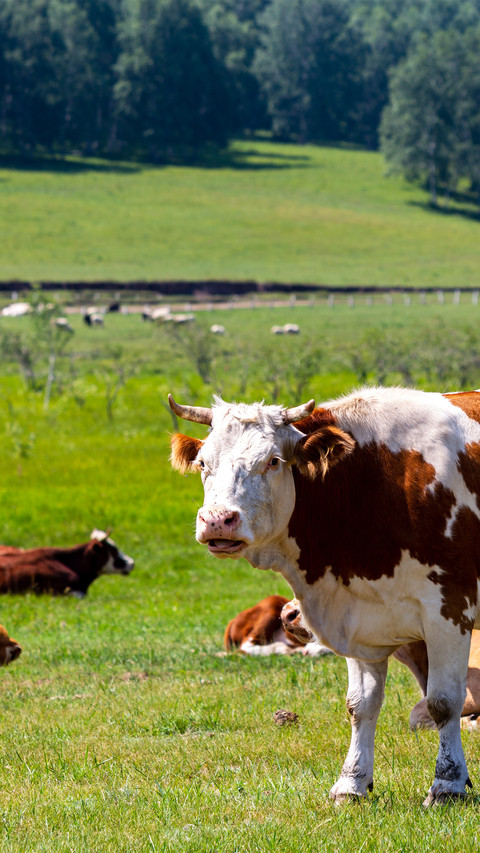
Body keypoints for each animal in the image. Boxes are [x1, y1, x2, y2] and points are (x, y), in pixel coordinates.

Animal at [169, 386, 480, 805]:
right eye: (203, 463)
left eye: (273, 461)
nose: (218, 520)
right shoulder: (360, 614)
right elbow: (360, 705)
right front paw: (352, 783)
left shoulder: (450, 608)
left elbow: (443, 703)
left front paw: (447, 785)